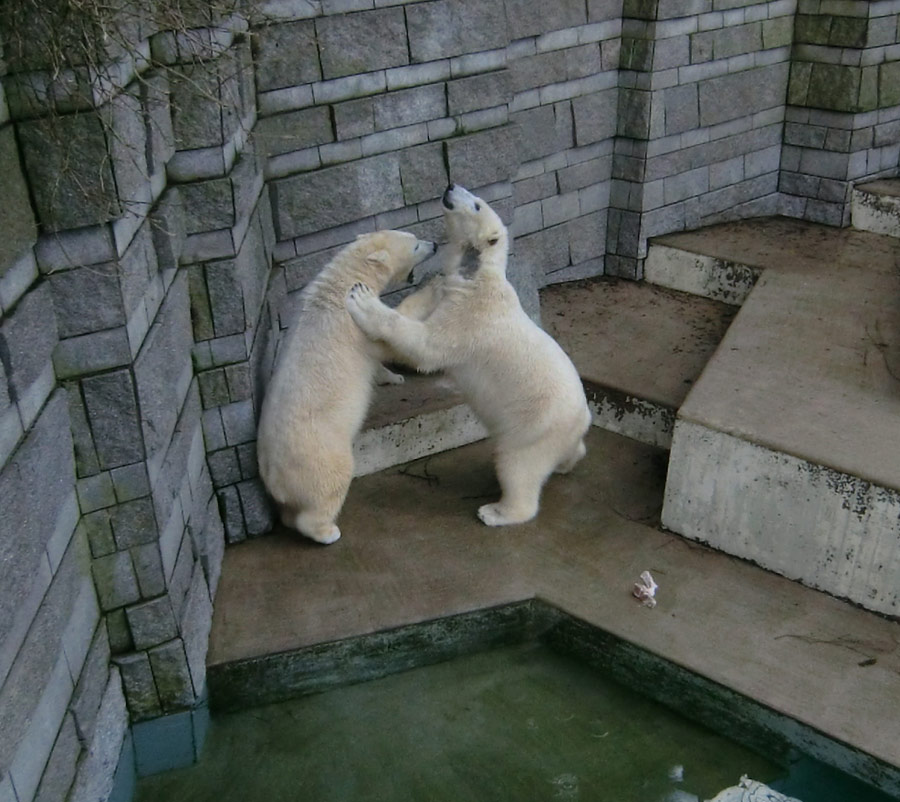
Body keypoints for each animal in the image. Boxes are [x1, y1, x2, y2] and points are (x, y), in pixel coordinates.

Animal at [256, 231, 436, 544]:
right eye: (415, 244)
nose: (435, 245)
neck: (343, 281)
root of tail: (273, 475)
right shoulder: (357, 328)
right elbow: (389, 335)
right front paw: (433, 285)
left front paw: (393, 377)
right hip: (321, 454)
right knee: (328, 488)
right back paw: (328, 532)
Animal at [344, 184, 592, 528]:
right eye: (471, 194)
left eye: (476, 204)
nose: (450, 186)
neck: (476, 276)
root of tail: (583, 419)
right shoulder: (457, 293)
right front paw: (429, 285)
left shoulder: (470, 315)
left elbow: (426, 347)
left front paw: (362, 299)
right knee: (568, 453)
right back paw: (565, 463)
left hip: (533, 426)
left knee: (517, 466)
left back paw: (496, 511)